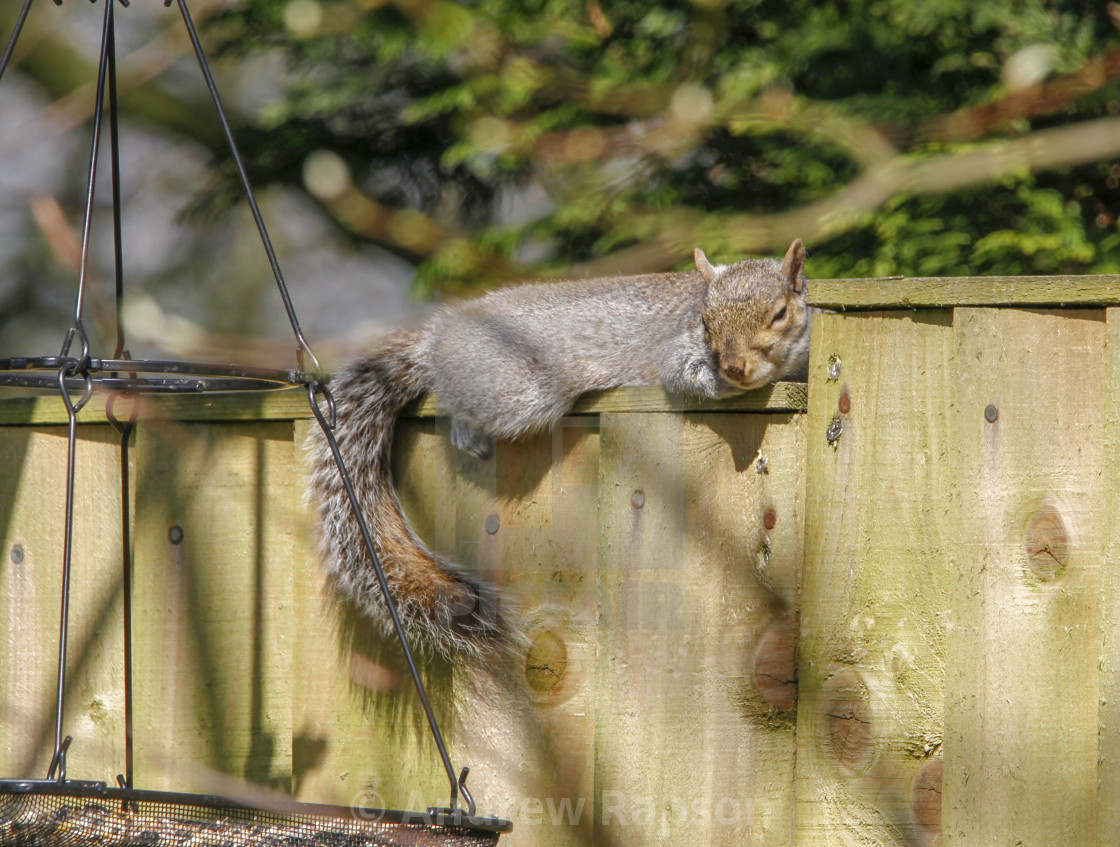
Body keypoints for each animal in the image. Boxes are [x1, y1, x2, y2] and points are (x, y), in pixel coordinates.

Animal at [311, 238, 810, 663]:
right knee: (449, 391)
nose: (734, 366)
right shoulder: (677, 351)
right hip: (515, 390)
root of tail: (439, 337)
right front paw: (719, 382)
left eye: (780, 313)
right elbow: (682, 372)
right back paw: (464, 427)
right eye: (705, 323)